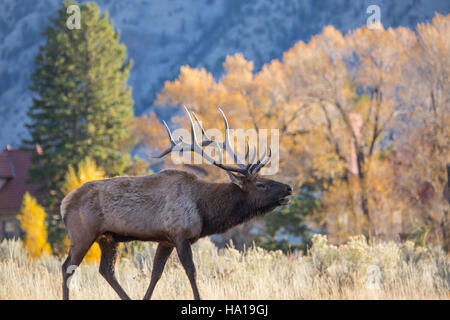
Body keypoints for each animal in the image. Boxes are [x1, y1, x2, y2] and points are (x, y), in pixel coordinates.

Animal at [60, 107, 292, 300]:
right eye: (261, 184)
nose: (288, 188)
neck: (204, 210)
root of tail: (63, 203)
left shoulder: (166, 240)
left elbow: (156, 273)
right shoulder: (180, 234)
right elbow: (191, 271)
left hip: (108, 237)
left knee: (106, 270)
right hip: (82, 234)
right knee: (68, 267)